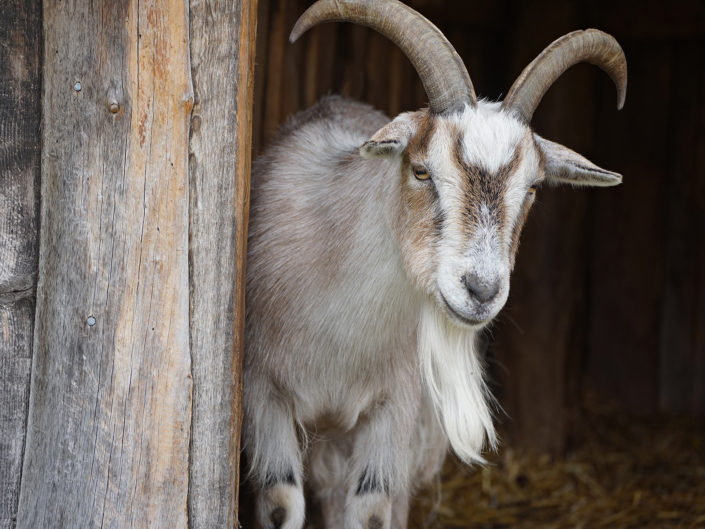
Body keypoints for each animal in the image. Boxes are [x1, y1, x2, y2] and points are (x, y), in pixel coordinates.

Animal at [243, 1, 628, 528]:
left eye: (531, 188)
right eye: (421, 170)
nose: (481, 290)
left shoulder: (394, 410)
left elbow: (372, 510)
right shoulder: (265, 397)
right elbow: (283, 503)